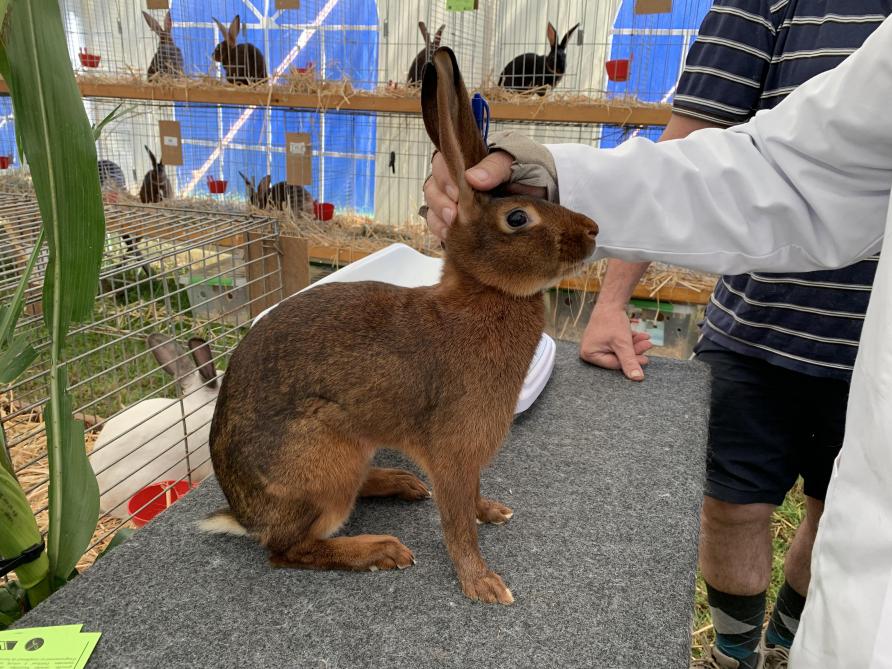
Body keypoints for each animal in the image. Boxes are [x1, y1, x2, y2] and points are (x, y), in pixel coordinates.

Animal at [204, 44, 600, 604]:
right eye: (519, 218)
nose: (593, 230)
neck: (483, 294)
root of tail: (243, 515)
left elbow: (471, 500)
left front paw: (492, 511)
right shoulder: (455, 452)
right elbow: (457, 522)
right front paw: (482, 583)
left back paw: (402, 483)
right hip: (320, 456)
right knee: (287, 550)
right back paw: (382, 549)